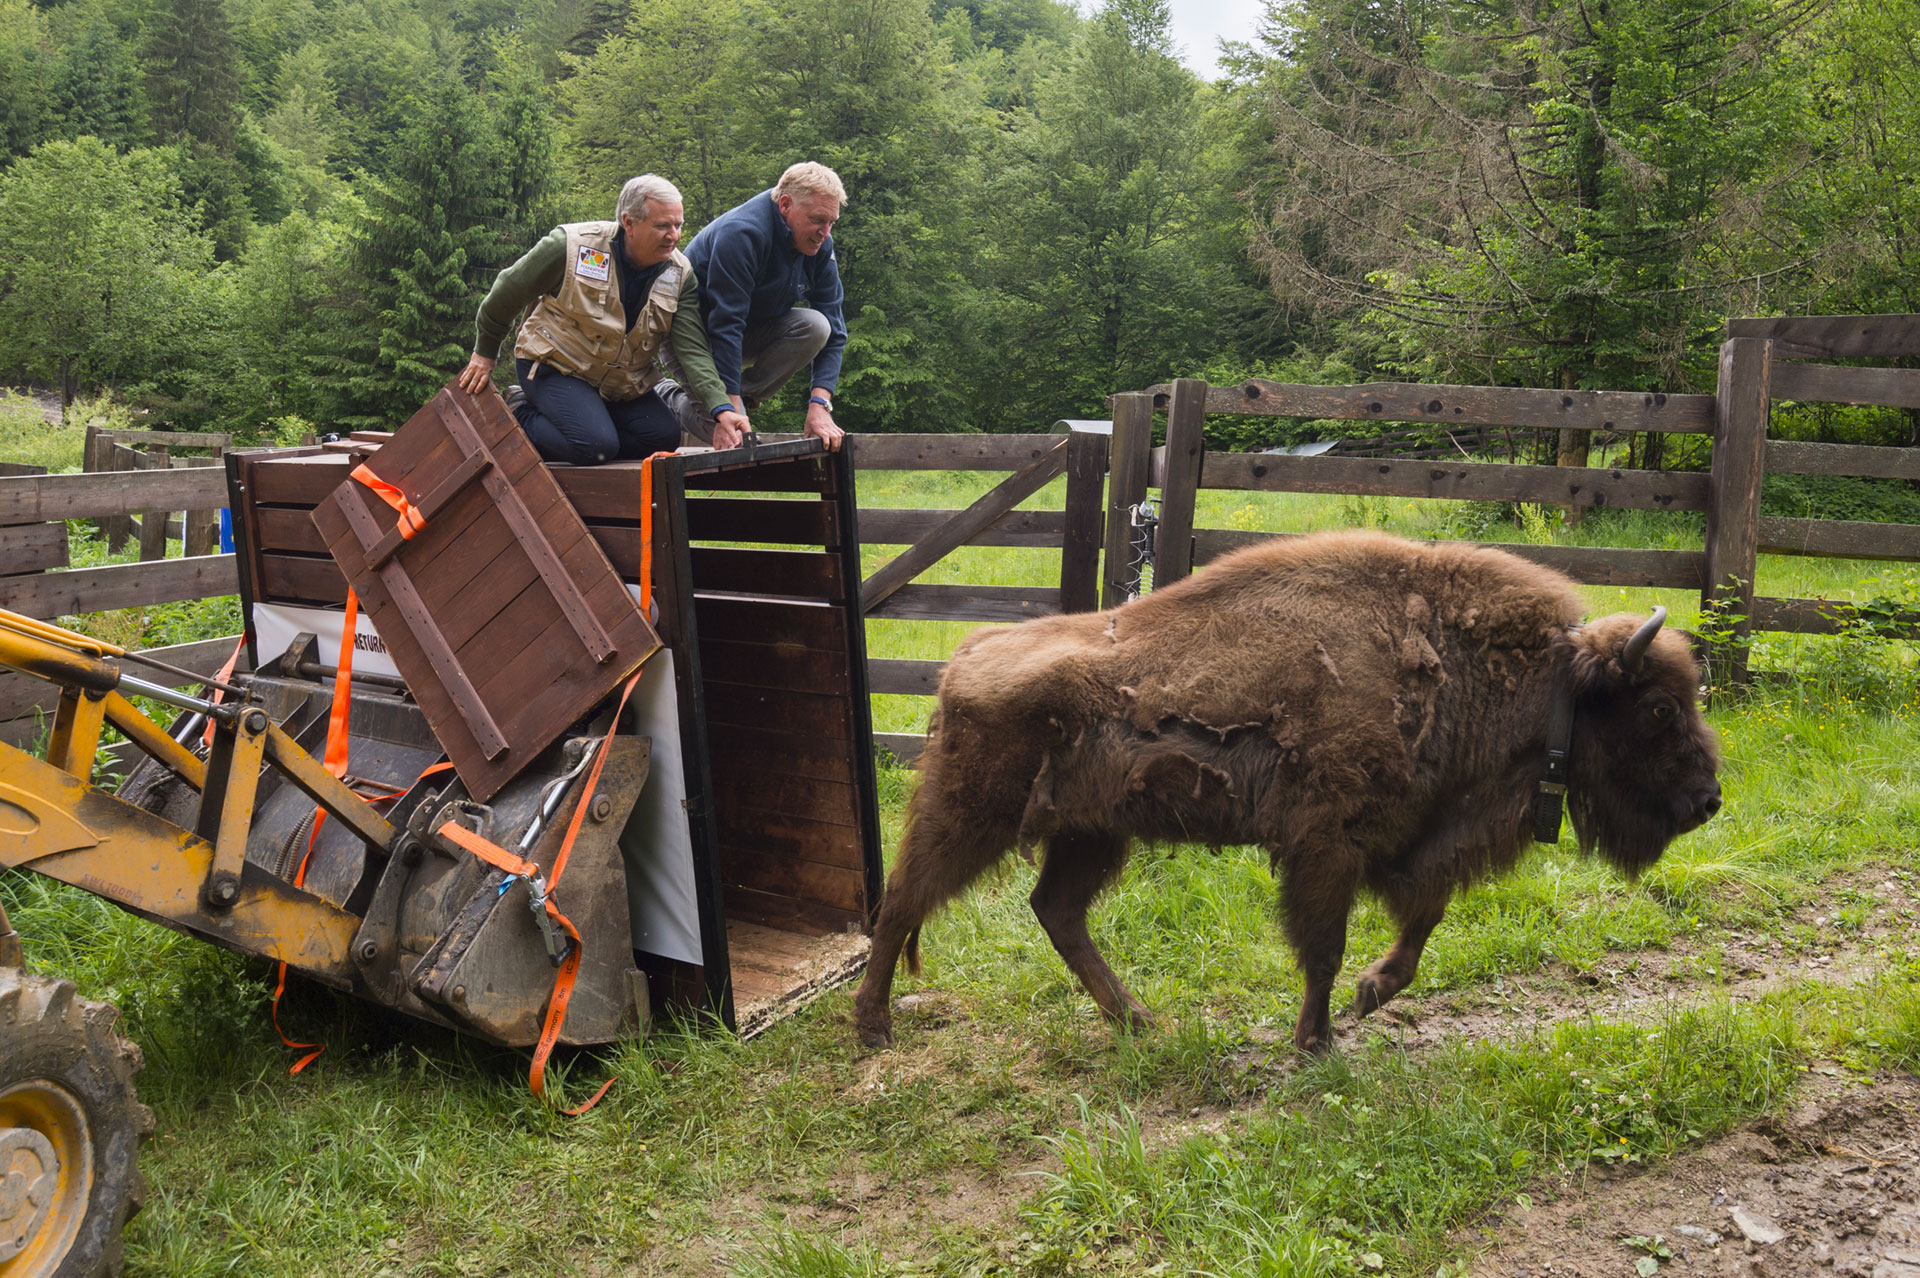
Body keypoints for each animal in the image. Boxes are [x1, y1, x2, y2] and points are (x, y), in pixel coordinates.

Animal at [856, 525, 1728, 1043]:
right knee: (901, 902)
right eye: (1658, 708)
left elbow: (1420, 925)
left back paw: (1139, 1021)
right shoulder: (1327, 847)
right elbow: (1324, 947)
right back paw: (873, 1027)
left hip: (1092, 834)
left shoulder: (1412, 840)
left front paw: (1371, 995)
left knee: (1055, 911)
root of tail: (964, 658)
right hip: (973, 817)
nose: (1709, 801)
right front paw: (1318, 1039)